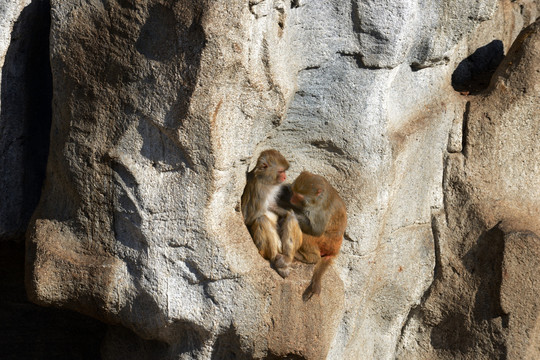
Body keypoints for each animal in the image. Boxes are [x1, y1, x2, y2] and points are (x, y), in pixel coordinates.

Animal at [242, 149, 304, 278]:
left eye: (284, 171)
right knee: (261, 220)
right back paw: (275, 259)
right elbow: (248, 218)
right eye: (281, 171)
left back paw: (287, 258)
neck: (266, 181)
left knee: (290, 217)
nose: (285, 176)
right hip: (263, 249)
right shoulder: (259, 191)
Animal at [288, 170, 348, 300]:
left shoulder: (319, 210)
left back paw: (311, 258)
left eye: (298, 197)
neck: (317, 198)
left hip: (325, 242)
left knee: (306, 234)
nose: (291, 199)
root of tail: (335, 250)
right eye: (293, 191)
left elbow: (316, 230)